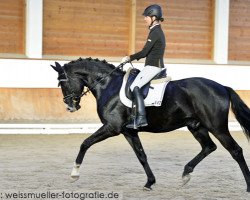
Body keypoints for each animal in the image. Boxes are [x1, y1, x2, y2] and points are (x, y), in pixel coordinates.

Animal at [50, 57, 250, 191]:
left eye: (62, 83)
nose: (70, 107)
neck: (108, 85)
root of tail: (222, 87)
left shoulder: (112, 128)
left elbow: (85, 143)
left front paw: (74, 174)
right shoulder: (129, 132)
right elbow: (141, 156)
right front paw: (150, 182)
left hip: (217, 127)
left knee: (236, 151)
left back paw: (247, 186)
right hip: (196, 126)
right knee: (209, 147)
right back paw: (186, 174)